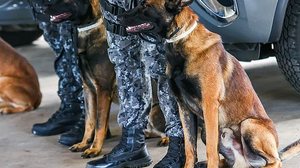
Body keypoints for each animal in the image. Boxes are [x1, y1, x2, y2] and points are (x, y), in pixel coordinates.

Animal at [120, 0, 300, 167]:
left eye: (145, 6)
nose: (119, 16)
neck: (181, 40)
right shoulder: (183, 108)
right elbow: (190, 147)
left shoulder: (209, 105)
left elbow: (211, 150)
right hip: (206, 132)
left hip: (248, 125)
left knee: (274, 160)